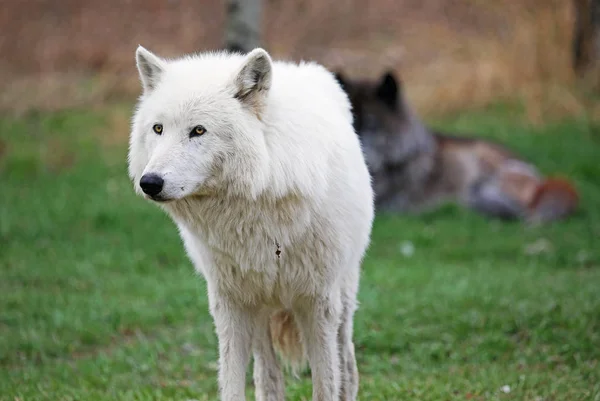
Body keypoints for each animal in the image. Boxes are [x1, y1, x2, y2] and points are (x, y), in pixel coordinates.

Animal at [128, 45, 372, 398]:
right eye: (158, 129)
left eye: (198, 130)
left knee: (348, 370)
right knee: (268, 379)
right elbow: (232, 385)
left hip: (342, 299)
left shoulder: (317, 303)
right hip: (259, 312)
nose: (149, 182)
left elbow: (326, 384)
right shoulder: (230, 304)